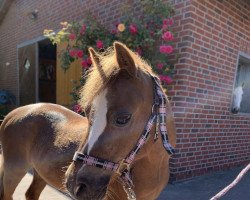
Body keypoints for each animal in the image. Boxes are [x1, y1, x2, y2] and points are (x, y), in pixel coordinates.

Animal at [0, 41, 176, 199]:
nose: (74, 184)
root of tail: (12, 114)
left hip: (39, 173)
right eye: (86, 112)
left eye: (123, 118)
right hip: (14, 170)